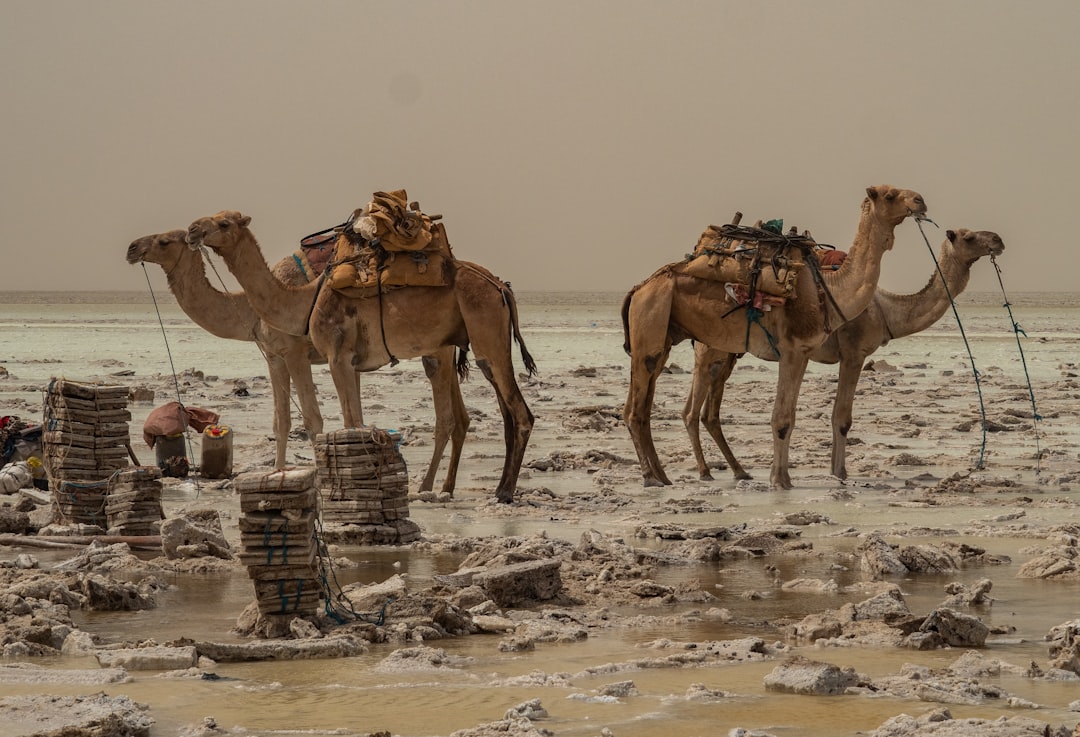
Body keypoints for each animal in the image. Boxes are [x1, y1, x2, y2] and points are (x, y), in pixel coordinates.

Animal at [125, 229, 468, 492]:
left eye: (164, 241)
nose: (132, 248)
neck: (254, 307)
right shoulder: (274, 356)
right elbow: (282, 421)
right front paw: (276, 472)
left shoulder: (296, 352)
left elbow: (313, 419)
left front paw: (317, 478)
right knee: (460, 417)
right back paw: (447, 486)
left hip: (435, 348)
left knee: (445, 416)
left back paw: (427, 486)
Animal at [187, 209, 537, 501]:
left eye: (223, 223)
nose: (192, 229)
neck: (303, 300)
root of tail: (501, 287)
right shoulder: (348, 360)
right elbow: (354, 421)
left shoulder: (336, 356)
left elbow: (348, 422)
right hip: (474, 345)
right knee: (500, 411)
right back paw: (479, 487)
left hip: (482, 333)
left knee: (512, 414)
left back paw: (494, 491)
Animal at [622, 183, 924, 488]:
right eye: (890, 195)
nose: (920, 201)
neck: (828, 291)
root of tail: (640, 287)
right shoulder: (792, 349)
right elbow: (781, 417)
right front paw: (780, 480)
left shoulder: (803, 353)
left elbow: (788, 415)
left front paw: (781, 476)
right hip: (652, 318)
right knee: (636, 409)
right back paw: (650, 477)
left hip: (665, 335)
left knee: (644, 405)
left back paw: (665, 476)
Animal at [682, 229, 1002, 481]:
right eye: (969, 236)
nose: (998, 240)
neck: (886, 310)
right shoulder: (854, 353)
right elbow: (842, 416)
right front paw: (840, 472)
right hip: (708, 348)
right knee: (691, 411)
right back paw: (705, 471)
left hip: (728, 353)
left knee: (709, 411)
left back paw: (739, 471)